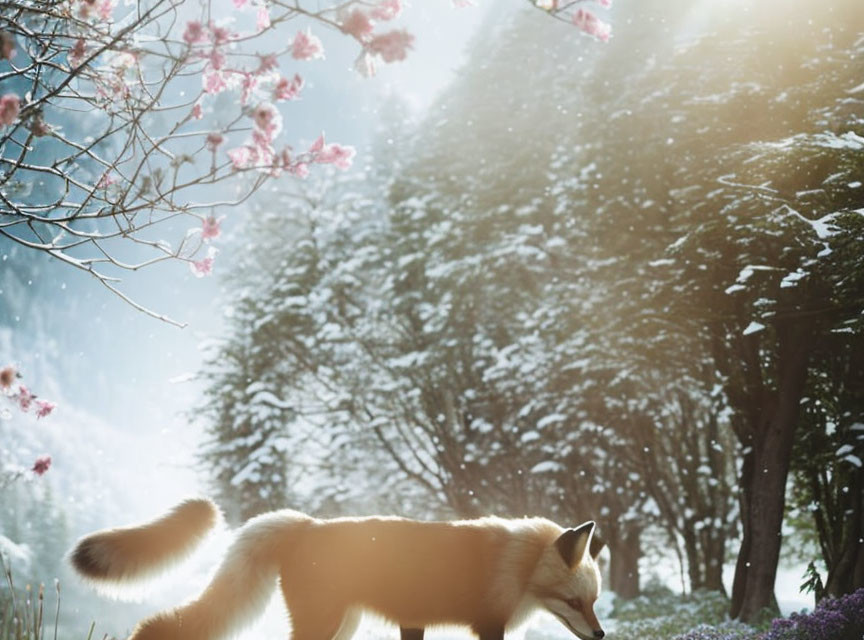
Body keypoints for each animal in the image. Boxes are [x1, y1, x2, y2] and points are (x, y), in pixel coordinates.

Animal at [69, 500, 608, 640]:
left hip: (342, 626)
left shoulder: (413, 621)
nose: (602, 635)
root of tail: (305, 523)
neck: (514, 565)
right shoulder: (487, 626)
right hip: (322, 624)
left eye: (594, 602)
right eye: (573, 602)